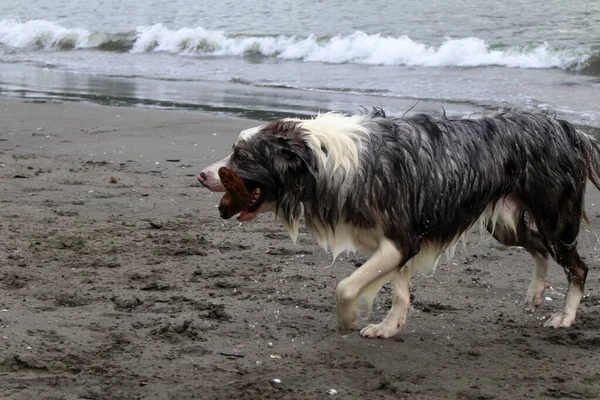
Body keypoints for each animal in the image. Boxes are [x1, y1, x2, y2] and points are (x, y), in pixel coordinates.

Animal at [198, 108, 600, 340]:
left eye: (240, 155)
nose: (202, 176)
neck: (322, 158)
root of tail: (569, 130)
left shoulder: (402, 239)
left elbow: (346, 286)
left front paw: (348, 319)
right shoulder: (398, 241)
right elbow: (400, 290)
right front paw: (389, 326)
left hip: (554, 215)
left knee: (577, 266)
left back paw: (564, 317)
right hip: (505, 224)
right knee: (538, 248)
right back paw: (536, 291)